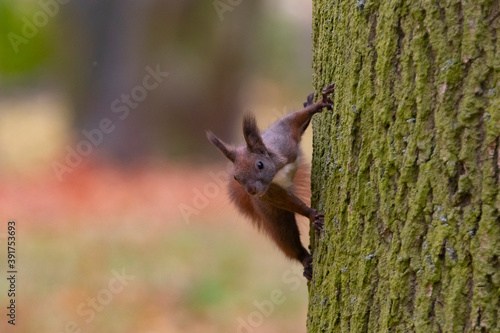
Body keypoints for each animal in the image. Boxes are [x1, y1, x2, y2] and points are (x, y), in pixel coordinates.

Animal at [207, 82, 336, 278]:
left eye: (260, 165)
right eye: (236, 177)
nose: (252, 191)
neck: (277, 168)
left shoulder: (284, 138)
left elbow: (295, 119)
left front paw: (320, 102)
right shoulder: (271, 194)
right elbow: (289, 201)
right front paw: (312, 215)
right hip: (271, 213)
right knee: (286, 237)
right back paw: (305, 260)